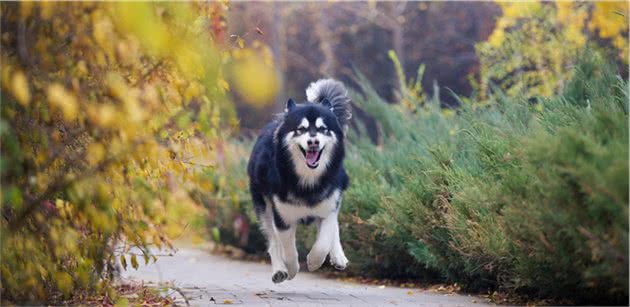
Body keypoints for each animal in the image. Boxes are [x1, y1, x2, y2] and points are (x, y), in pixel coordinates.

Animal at [248, 79, 356, 284]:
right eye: (301, 129)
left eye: (323, 129)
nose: (313, 142)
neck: (308, 180)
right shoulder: (283, 218)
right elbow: (288, 249)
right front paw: (291, 270)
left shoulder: (328, 207)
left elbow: (325, 240)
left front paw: (314, 261)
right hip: (263, 205)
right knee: (273, 241)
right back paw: (279, 270)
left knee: (335, 226)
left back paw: (338, 256)